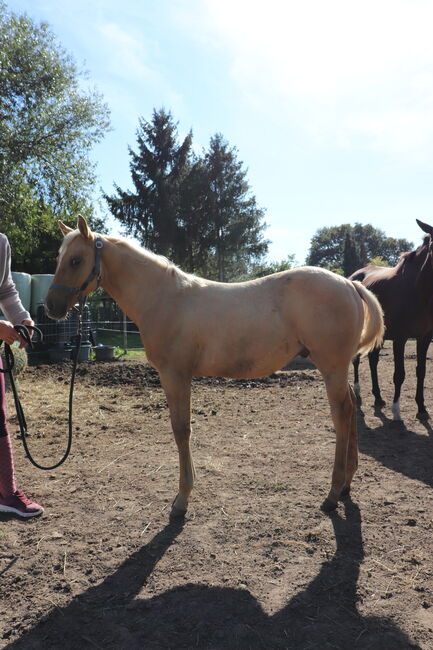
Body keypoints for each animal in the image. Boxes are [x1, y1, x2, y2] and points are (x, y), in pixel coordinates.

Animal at [45, 218, 384, 516]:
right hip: (337, 369)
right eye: (59, 257)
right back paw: (346, 485)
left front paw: (181, 500)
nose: (50, 307)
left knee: (342, 414)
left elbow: (181, 430)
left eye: (76, 260)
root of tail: (349, 284)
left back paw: (332, 494)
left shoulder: (175, 375)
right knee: (350, 406)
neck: (164, 297)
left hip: (331, 367)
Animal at [350, 218, 432, 420]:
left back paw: (378, 398)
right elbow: (399, 374)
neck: (418, 291)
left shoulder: (425, 337)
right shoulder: (400, 338)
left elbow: (421, 371)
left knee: (373, 361)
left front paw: (422, 409)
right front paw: (396, 411)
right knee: (357, 360)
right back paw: (358, 392)